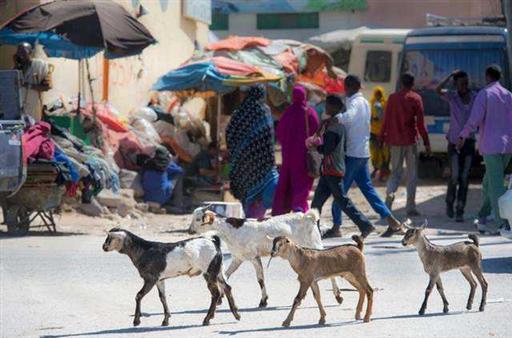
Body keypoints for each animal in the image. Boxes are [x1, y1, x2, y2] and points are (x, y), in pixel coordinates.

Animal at [103, 228, 242, 326]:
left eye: (109, 238)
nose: (103, 247)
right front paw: (166, 320)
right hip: (218, 270)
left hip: (209, 271)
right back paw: (236, 314)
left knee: (216, 293)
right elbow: (162, 297)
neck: (144, 250)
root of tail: (214, 242)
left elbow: (139, 295)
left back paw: (207, 319)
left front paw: (136, 321)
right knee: (227, 287)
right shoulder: (160, 280)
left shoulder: (150, 278)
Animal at [186, 207, 342, 308]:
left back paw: (338, 296)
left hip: (314, 244)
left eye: (198, 219)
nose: (189, 230)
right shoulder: (238, 257)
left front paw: (263, 301)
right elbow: (226, 275)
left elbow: (260, 279)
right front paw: (221, 297)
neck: (232, 230)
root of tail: (308, 217)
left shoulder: (253, 256)